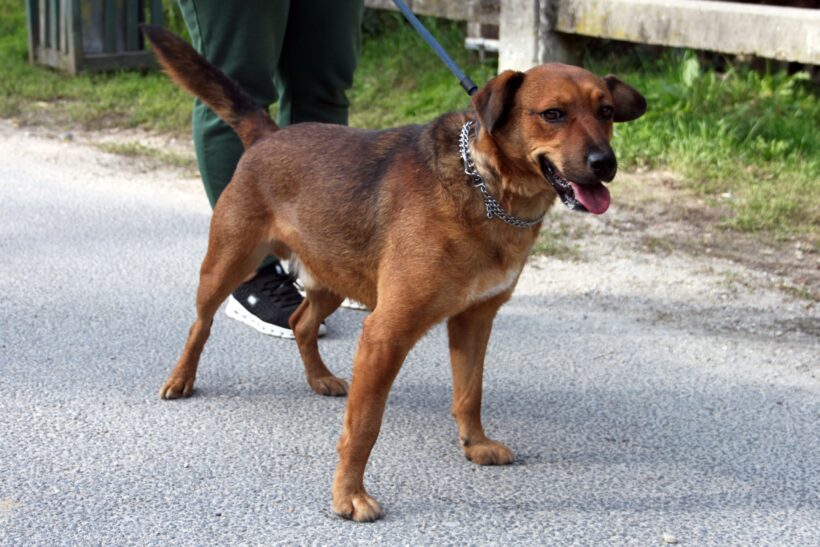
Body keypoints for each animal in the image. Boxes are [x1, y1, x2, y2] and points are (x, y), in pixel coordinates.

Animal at [141, 25, 646, 522]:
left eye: (606, 112)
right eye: (553, 114)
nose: (606, 163)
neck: (487, 188)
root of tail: (269, 134)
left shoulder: (474, 321)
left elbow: (470, 393)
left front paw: (475, 443)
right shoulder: (386, 333)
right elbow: (364, 426)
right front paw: (348, 495)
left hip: (334, 275)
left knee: (301, 321)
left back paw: (320, 378)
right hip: (228, 263)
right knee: (201, 324)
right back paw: (181, 379)